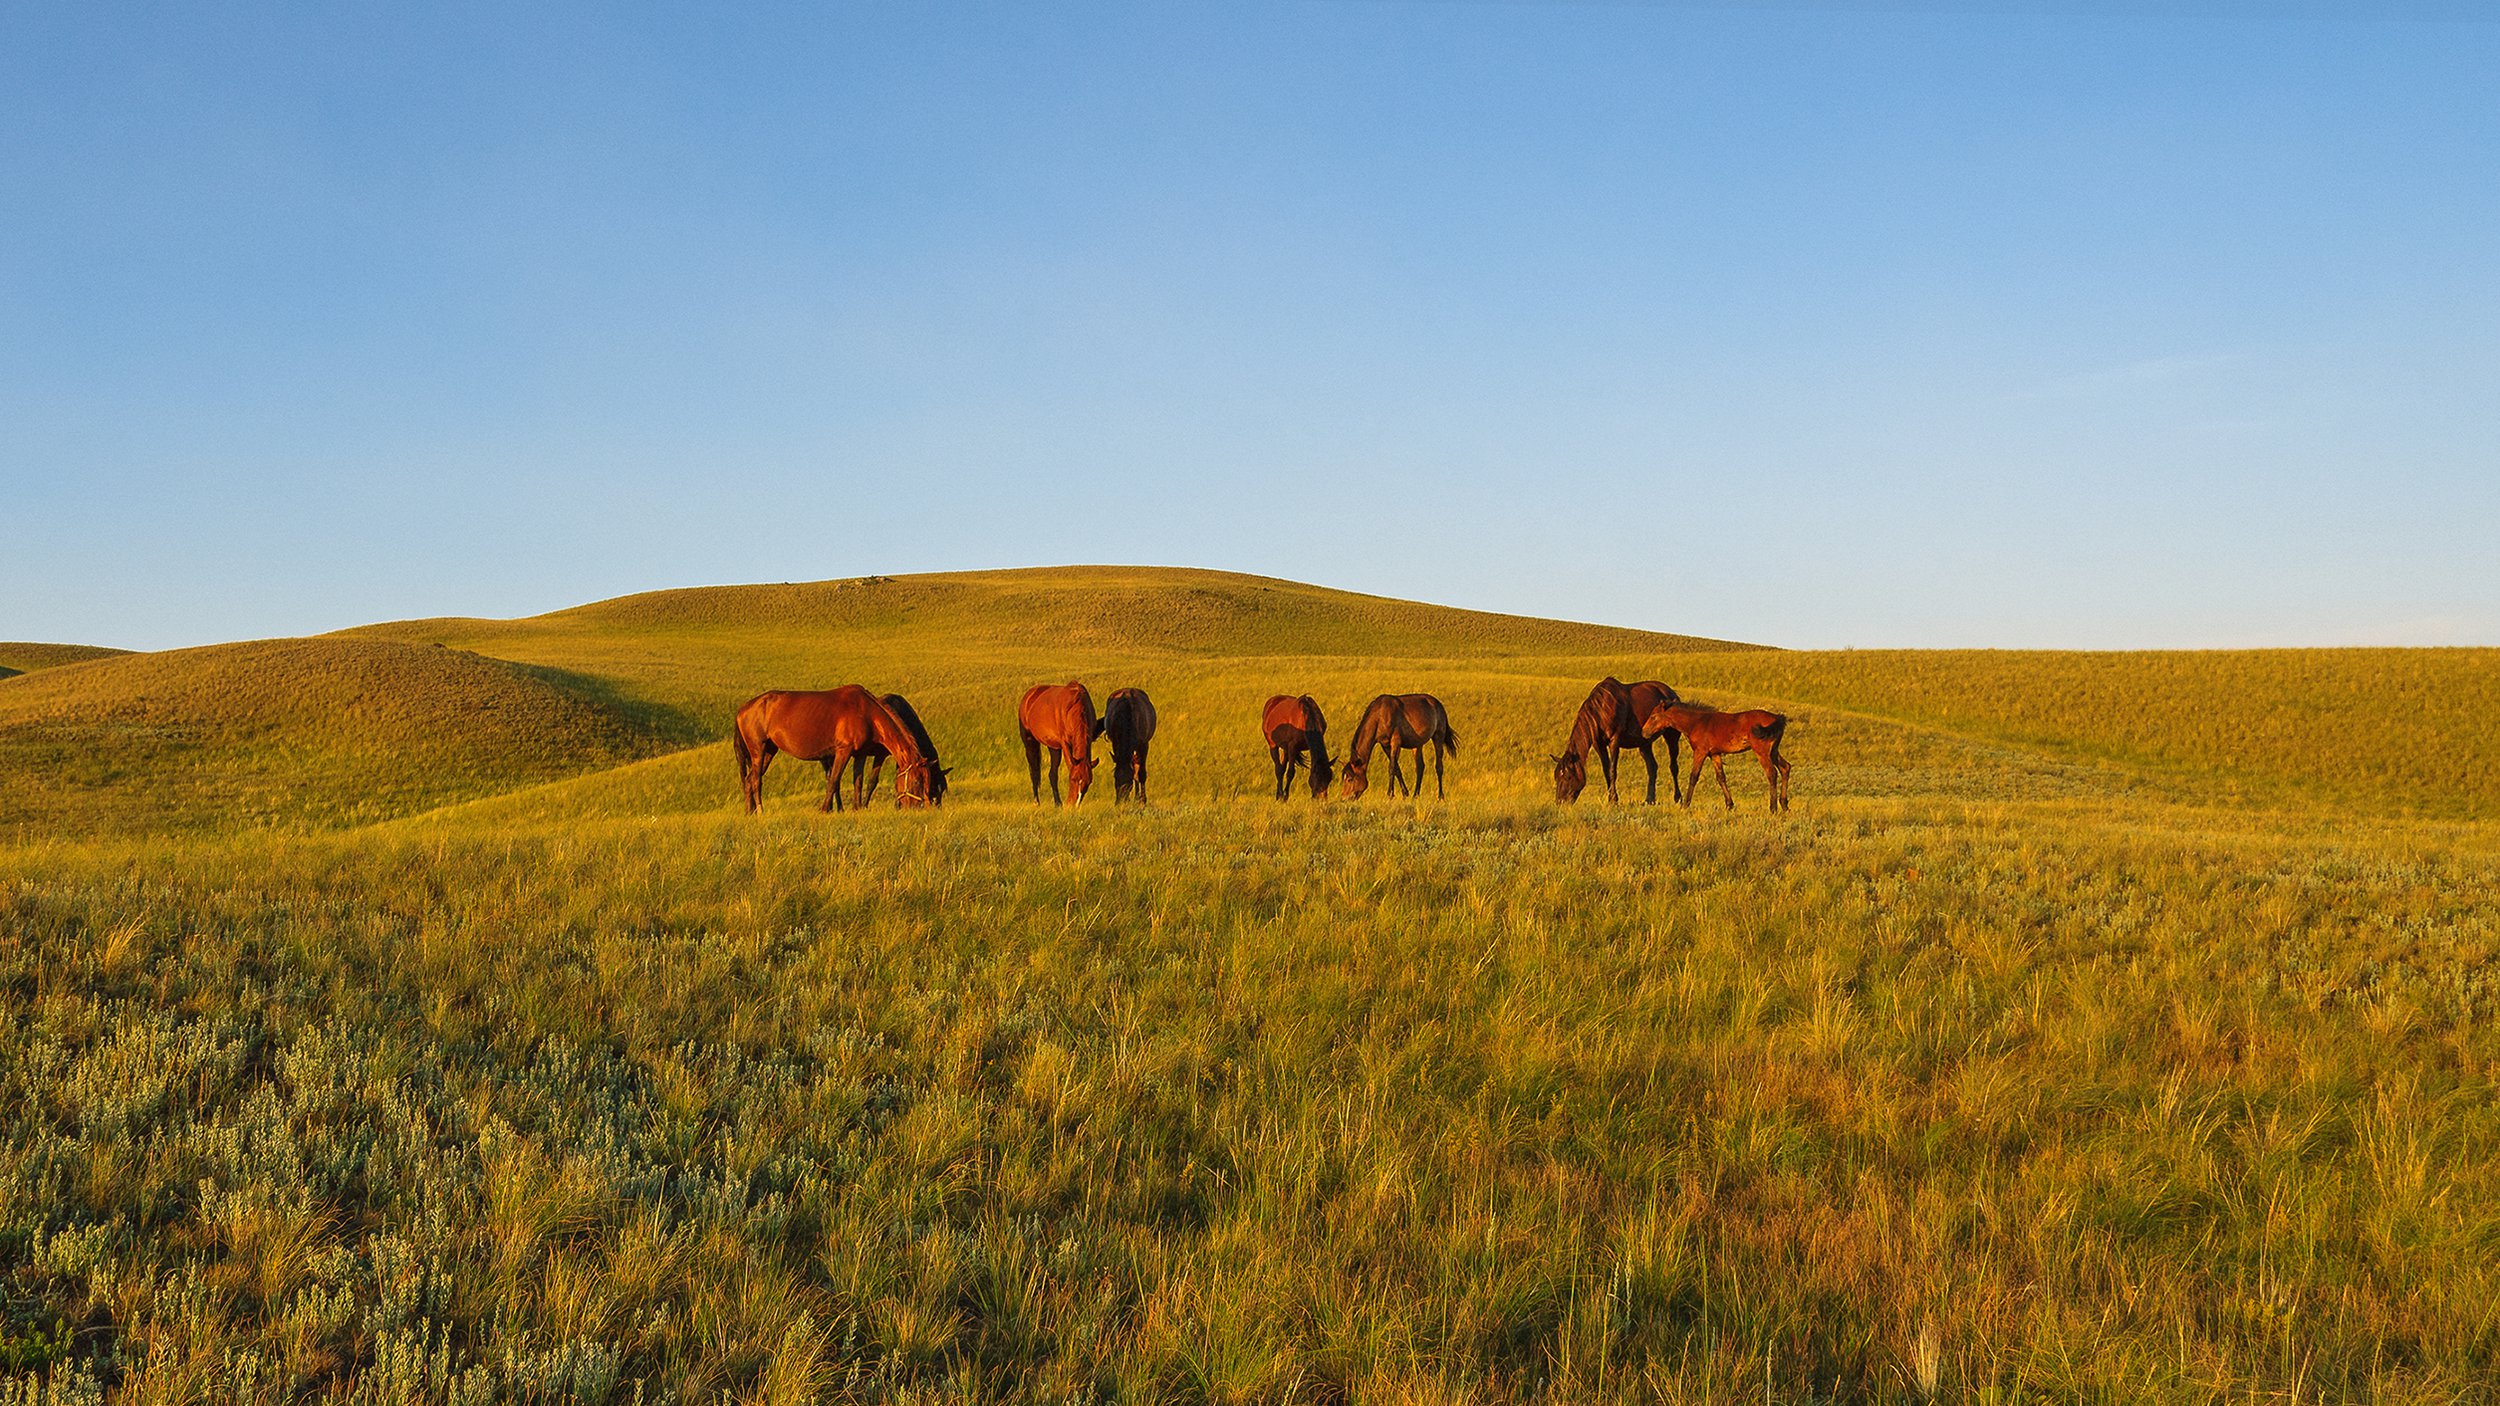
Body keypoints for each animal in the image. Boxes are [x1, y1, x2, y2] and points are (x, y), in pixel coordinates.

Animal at [740, 680, 945, 805]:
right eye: (917, 781)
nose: (917, 806)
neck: (867, 713)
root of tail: (743, 708)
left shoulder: (860, 754)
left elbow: (858, 782)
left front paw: (857, 808)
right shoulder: (843, 751)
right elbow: (834, 781)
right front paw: (825, 810)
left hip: (769, 751)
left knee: (749, 780)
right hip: (758, 750)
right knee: (756, 780)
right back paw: (760, 811)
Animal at [1550, 675, 1690, 800]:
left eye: (1567, 777)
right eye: (1556, 777)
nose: (1560, 801)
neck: (1601, 710)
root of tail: (1672, 694)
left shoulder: (1614, 741)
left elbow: (1612, 771)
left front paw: (1614, 800)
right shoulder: (1599, 745)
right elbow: (1606, 771)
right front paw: (1610, 798)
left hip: (1671, 737)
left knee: (1673, 767)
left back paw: (1678, 798)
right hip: (1644, 744)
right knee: (1652, 767)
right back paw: (1649, 800)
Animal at [1640, 695, 1800, 810]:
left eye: (1653, 716)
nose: (1644, 732)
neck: (1697, 722)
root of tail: (1778, 718)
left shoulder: (1700, 752)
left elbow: (1693, 776)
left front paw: (1685, 805)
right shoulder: (1714, 754)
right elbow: (1721, 777)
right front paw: (1729, 805)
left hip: (1762, 752)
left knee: (1772, 773)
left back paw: (1773, 808)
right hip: (1773, 751)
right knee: (1785, 768)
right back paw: (1784, 805)